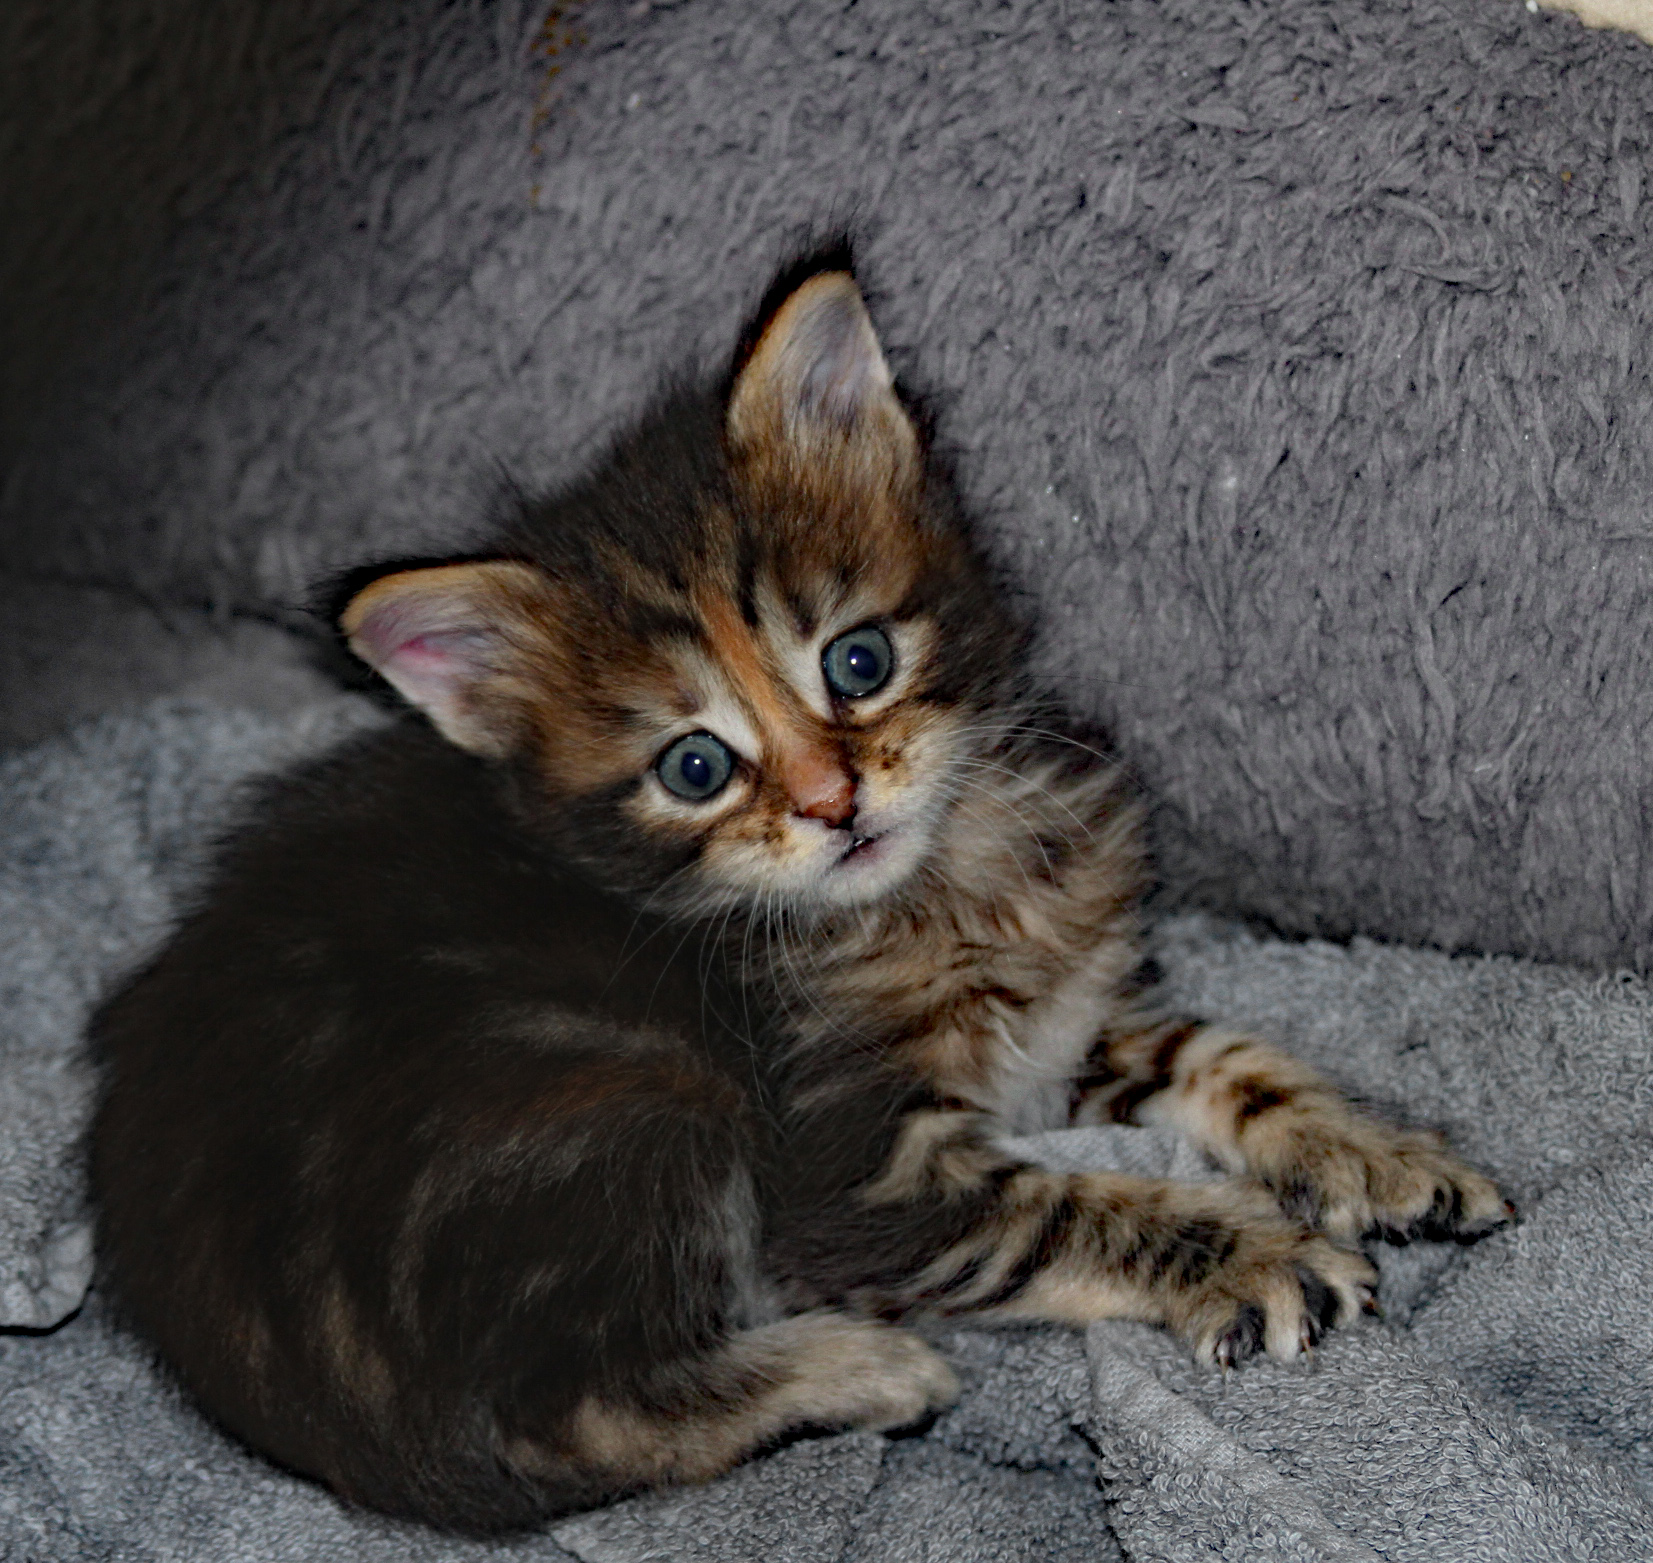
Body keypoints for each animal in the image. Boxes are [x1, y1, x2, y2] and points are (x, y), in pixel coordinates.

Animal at [87, 249, 1514, 1526]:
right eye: (695, 765)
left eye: (859, 660)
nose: (835, 802)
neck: (944, 884)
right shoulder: (846, 1176)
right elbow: (1066, 1209)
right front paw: (1261, 1252)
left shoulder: (1061, 1027)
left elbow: (1225, 1055)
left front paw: (1376, 1153)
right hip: (644, 1104)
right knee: (570, 1420)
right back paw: (858, 1369)